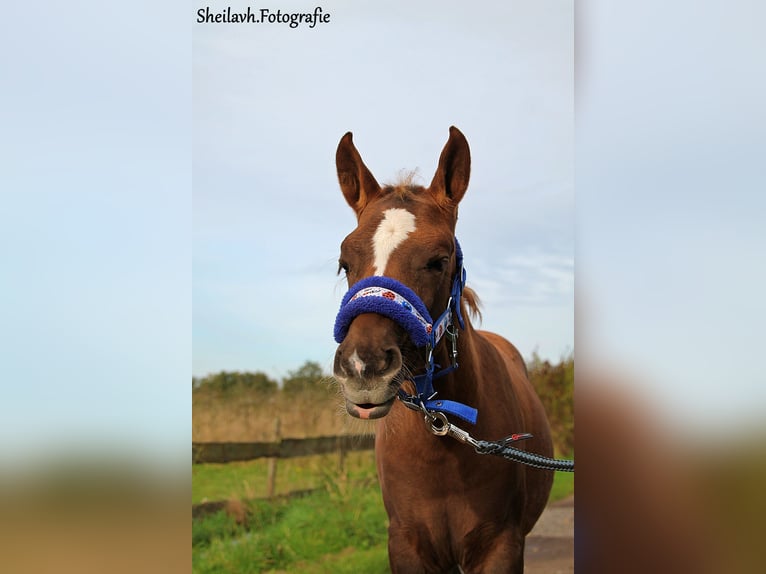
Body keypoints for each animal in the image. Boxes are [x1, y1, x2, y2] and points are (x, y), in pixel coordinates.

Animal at [332, 128, 556, 572]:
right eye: (344, 262)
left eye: (438, 260)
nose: (363, 367)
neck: (442, 447)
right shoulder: (407, 546)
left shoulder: (500, 546)